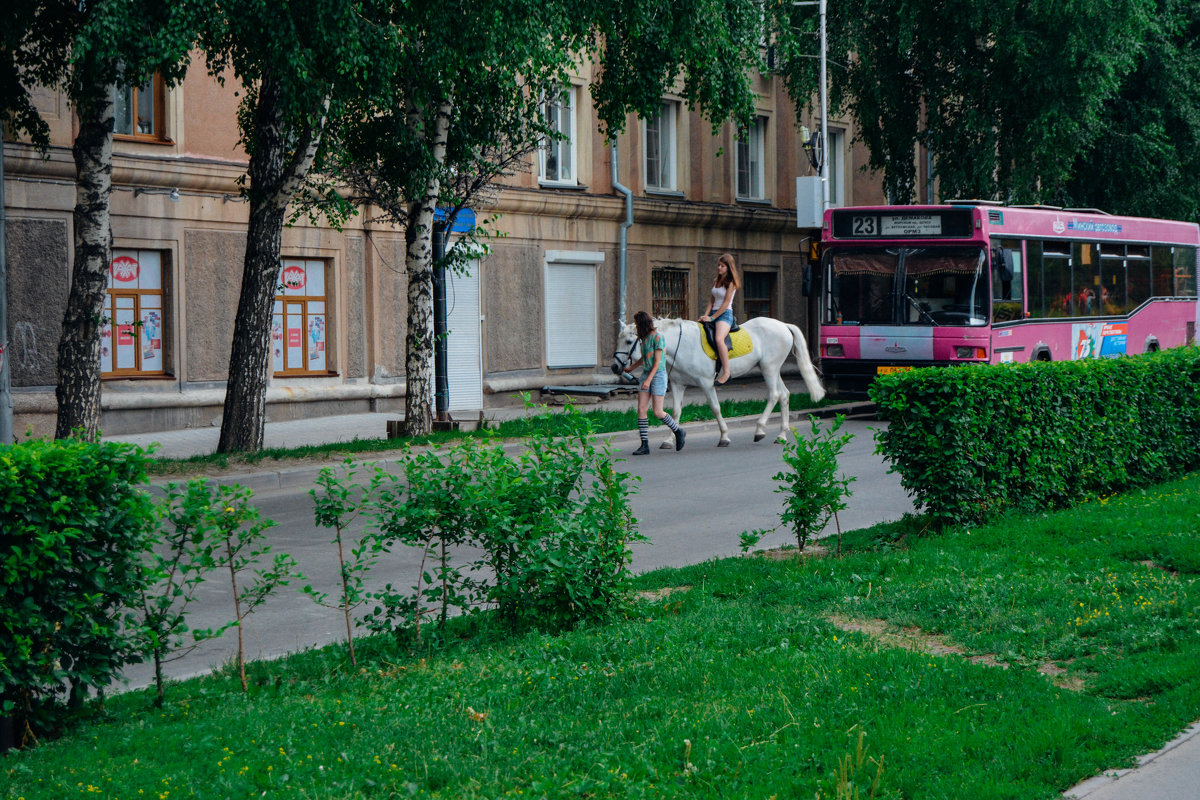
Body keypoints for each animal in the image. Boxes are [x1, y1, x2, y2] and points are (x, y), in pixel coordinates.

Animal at [609, 316, 825, 448]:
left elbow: (715, 408)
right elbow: (675, 412)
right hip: (772, 369)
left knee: (774, 395)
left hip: (769, 369)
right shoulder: (678, 385)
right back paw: (781, 435)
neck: (682, 344)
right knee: (784, 395)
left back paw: (760, 429)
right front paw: (670, 439)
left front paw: (724, 437)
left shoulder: (706, 384)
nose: (615, 367)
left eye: (629, 342)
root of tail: (783, 325)